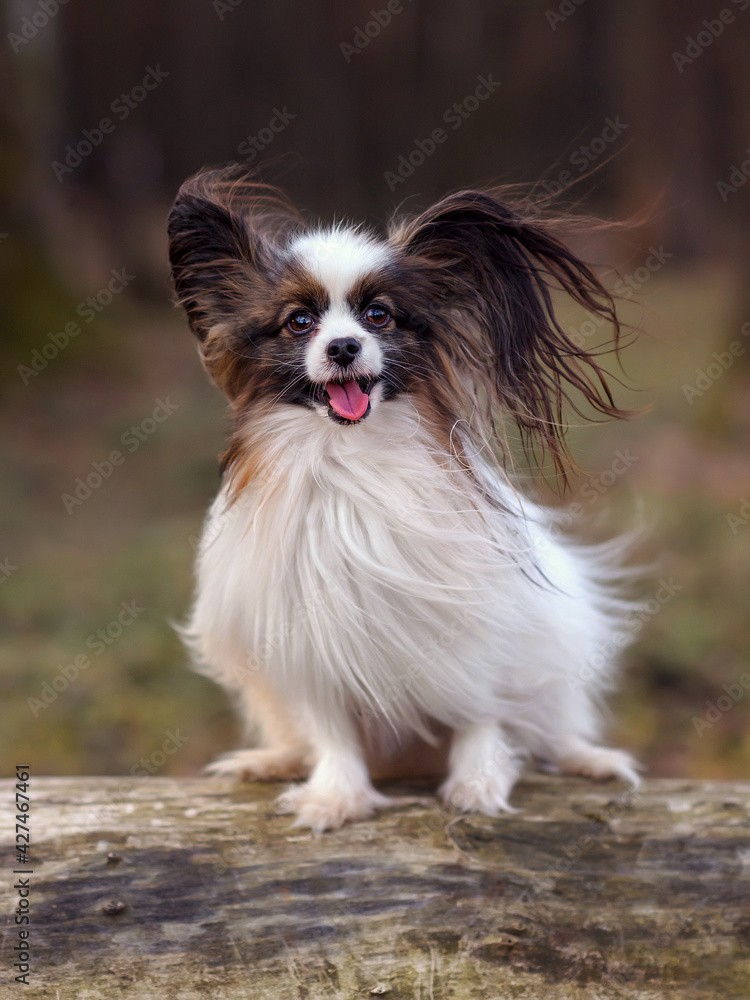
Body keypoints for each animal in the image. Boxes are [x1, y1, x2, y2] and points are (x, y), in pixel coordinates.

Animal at [169, 168, 640, 832]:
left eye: (378, 315)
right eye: (299, 322)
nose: (344, 347)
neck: (351, 455)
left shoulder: (476, 628)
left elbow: (480, 710)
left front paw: (477, 782)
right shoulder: (311, 643)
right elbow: (332, 731)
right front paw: (334, 796)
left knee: (547, 729)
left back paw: (585, 759)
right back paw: (275, 761)